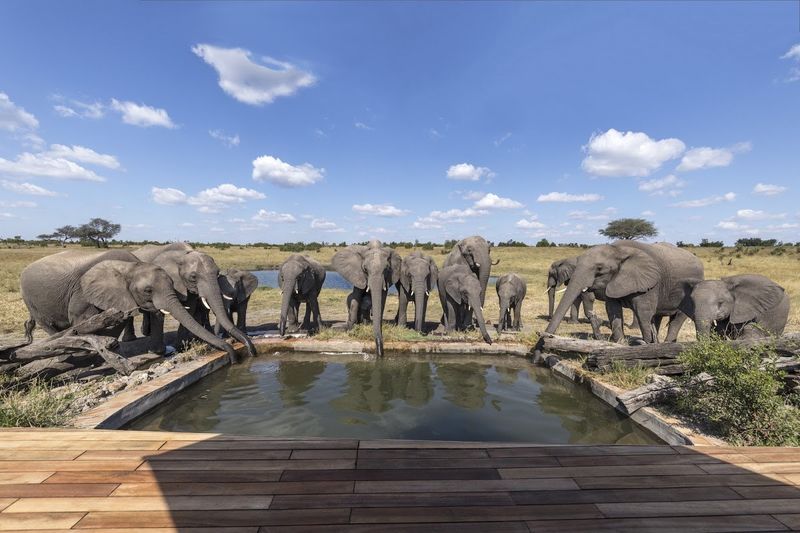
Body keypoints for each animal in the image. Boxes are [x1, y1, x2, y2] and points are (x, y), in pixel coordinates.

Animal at [19, 250, 238, 362]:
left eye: (218, 272)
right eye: (193, 277)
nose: (235, 354)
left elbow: (161, 312)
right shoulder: (82, 291)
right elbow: (83, 320)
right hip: (30, 297)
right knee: (46, 324)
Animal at [546, 241, 704, 344]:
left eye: (599, 269)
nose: (545, 337)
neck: (619, 250)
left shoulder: (650, 282)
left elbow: (643, 311)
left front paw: (646, 344)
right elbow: (612, 310)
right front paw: (619, 342)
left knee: (676, 319)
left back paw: (664, 343)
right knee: (657, 316)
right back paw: (658, 341)